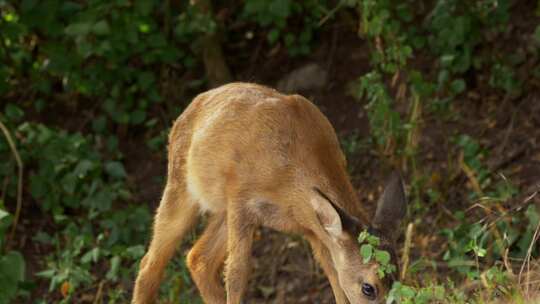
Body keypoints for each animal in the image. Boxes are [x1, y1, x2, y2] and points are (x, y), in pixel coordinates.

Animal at [133, 82, 408, 302]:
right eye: (368, 288)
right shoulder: (241, 200)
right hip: (180, 187)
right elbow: (237, 273)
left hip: (221, 211)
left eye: (398, 279)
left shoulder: (313, 229)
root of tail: (190, 108)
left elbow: (334, 277)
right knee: (149, 264)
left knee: (197, 258)